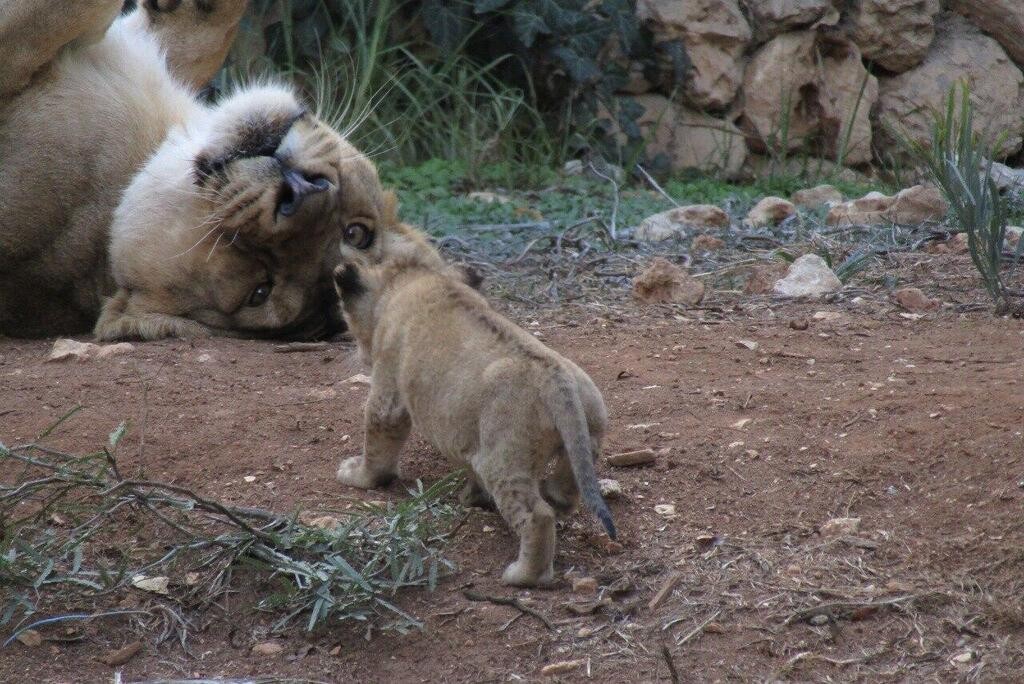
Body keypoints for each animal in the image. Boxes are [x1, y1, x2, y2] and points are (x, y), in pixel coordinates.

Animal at [332, 234, 616, 587]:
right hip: (589, 430)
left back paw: (522, 575)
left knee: (537, 516)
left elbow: (378, 443)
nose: (357, 353)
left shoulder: (388, 392)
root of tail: (556, 379)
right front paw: (472, 497)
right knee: (566, 490)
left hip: (502, 457)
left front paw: (358, 475)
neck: (414, 277)